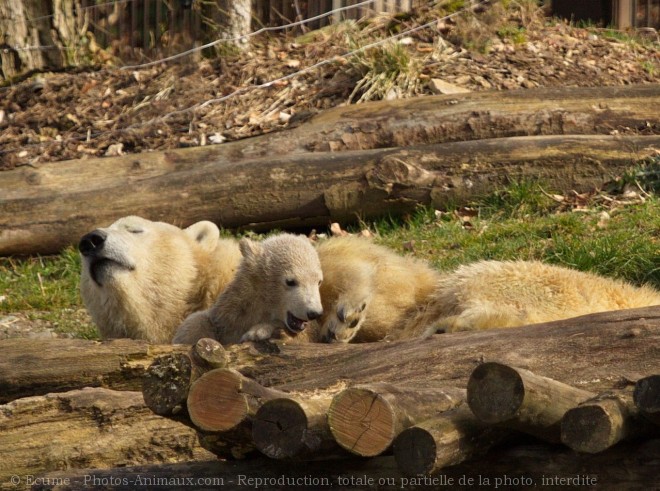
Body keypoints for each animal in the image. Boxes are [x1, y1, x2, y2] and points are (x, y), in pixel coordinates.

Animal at [171, 234, 324, 346]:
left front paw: (258, 332)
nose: (314, 312)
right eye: (290, 281)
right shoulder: (228, 314)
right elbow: (196, 322)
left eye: (319, 281)